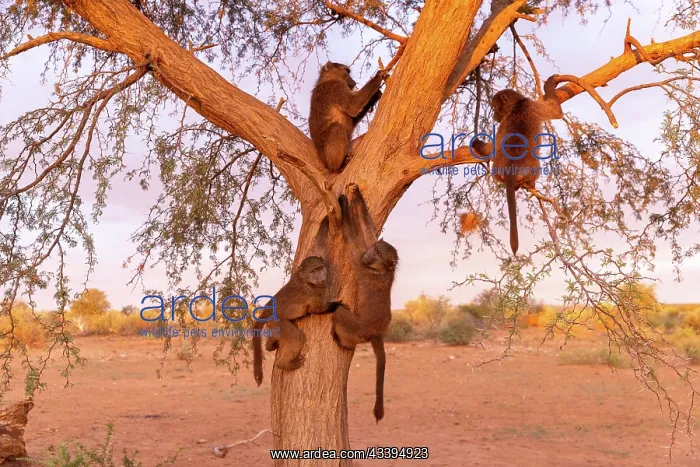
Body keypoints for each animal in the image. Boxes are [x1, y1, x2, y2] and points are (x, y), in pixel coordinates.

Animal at [252, 256, 329, 386]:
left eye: (320, 268)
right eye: (314, 271)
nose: (323, 279)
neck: (304, 279)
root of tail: (268, 309)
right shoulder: (313, 293)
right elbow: (316, 309)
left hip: (273, 324)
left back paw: (270, 344)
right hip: (277, 322)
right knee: (297, 338)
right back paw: (284, 364)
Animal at [326, 184, 399, 423]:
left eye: (377, 253)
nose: (368, 255)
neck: (383, 269)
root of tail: (377, 332)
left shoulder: (361, 264)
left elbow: (351, 238)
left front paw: (343, 204)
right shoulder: (365, 254)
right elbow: (367, 232)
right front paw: (355, 195)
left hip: (358, 327)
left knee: (339, 313)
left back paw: (343, 343)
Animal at [471, 75, 563, 255]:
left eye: (494, 107)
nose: (494, 116)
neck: (517, 105)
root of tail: (510, 169)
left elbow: (492, 148)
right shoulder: (533, 106)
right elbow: (555, 111)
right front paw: (549, 85)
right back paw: (529, 185)